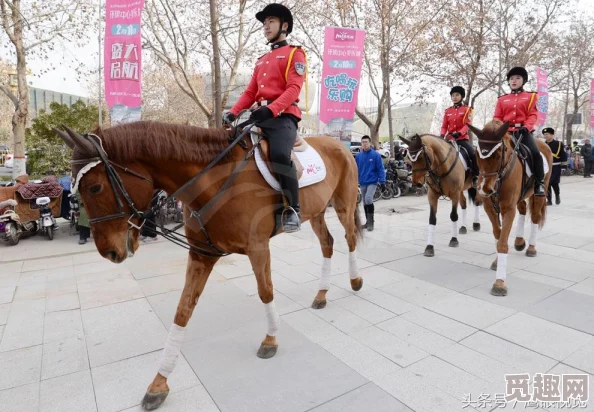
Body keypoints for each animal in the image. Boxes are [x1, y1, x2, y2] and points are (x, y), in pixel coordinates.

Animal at [55, 120, 364, 410]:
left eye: (95, 187)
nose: (109, 251)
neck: (214, 181)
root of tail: (340, 145)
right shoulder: (202, 254)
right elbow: (183, 311)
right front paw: (159, 382)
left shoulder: (258, 247)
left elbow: (265, 292)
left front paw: (270, 340)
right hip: (317, 212)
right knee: (327, 244)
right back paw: (321, 294)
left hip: (344, 205)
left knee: (349, 239)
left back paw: (355, 281)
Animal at [468, 119, 552, 296]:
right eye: (477, 154)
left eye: (498, 154)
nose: (484, 189)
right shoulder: (489, 207)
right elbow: (498, 234)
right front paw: (497, 262)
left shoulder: (508, 209)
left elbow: (502, 242)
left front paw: (499, 283)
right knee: (522, 209)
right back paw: (519, 241)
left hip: (540, 192)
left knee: (535, 217)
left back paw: (531, 247)